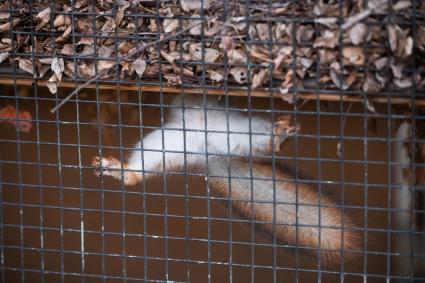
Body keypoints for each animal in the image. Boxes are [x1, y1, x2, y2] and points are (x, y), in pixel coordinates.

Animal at [91, 95, 360, 266]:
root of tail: (209, 149)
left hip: (235, 131)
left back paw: (277, 136)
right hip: (171, 144)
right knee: (141, 168)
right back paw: (123, 171)